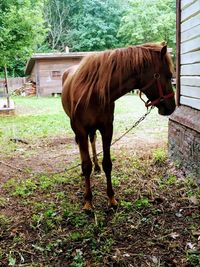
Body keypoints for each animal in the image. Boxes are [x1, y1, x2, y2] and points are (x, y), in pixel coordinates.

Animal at [61, 43, 176, 211]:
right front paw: (88, 201)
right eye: (168, 75)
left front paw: (111, 198)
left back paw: (96, 166)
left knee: (93, 141)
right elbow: (86, 165)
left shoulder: (107, 129)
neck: (94, 92)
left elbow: (107, 164)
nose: (172, 107)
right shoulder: (80, 130)